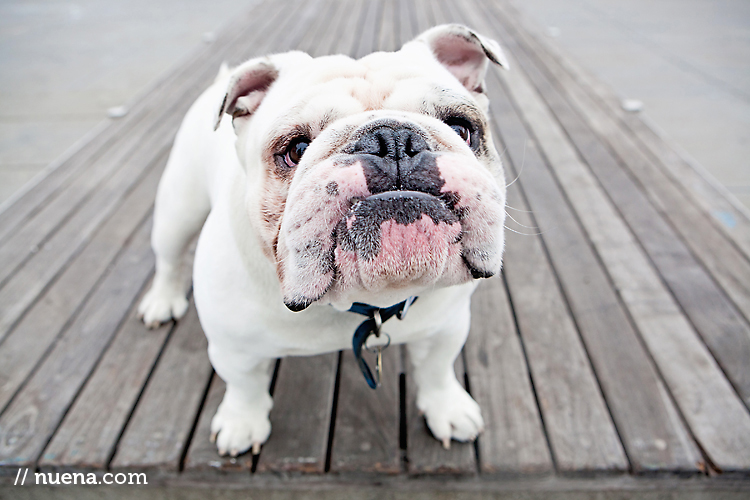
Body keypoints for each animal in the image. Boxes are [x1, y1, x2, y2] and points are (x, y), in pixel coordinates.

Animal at [137, 25, 512, 458]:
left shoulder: (446, 328)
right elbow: (245, 386)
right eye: (296, 150)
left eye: (461, 128)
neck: (359, 300)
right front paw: (241, 424)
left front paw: (448, 410)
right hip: (177, 210)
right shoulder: (234, 349)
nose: (391, 141)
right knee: (169, 257)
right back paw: (162, 301)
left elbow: (437, 370)